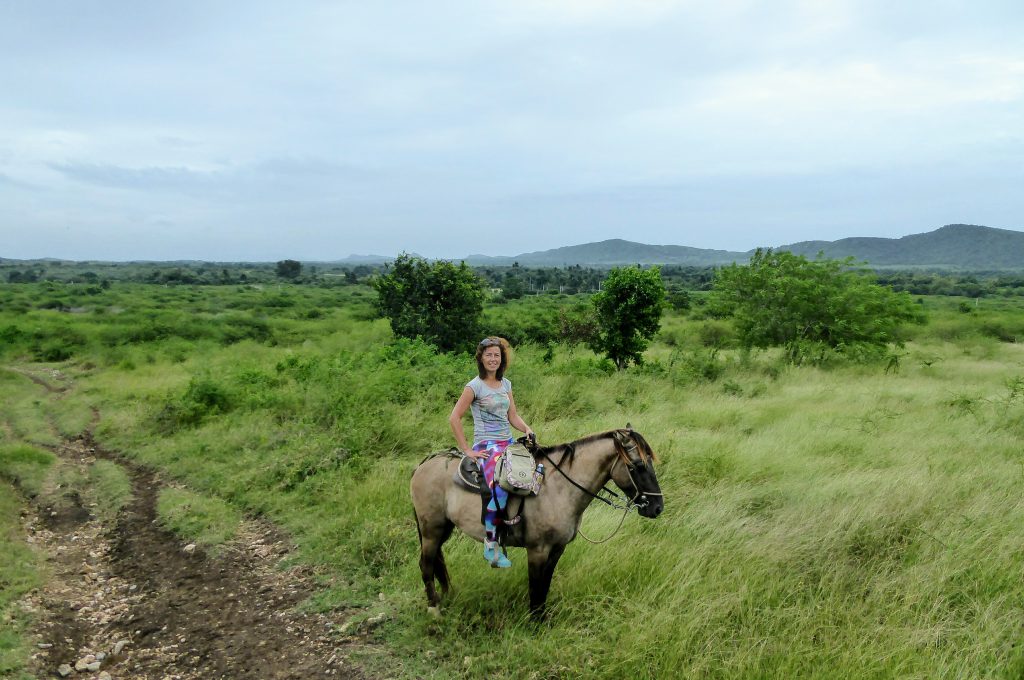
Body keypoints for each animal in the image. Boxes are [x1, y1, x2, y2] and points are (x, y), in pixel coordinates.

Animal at [407, 428, 663, 618]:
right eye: (637, 466)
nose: (657, 507)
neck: (558, 488)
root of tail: (423, 465)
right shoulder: (537, 550)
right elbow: (535, 586)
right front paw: (534, 621)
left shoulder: (557, 549)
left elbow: (545, 585)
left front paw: (542, 617)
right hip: (431, 530)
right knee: (425, 564)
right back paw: (434, 609)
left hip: (443, 528)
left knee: (437, 561)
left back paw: (447, 594)